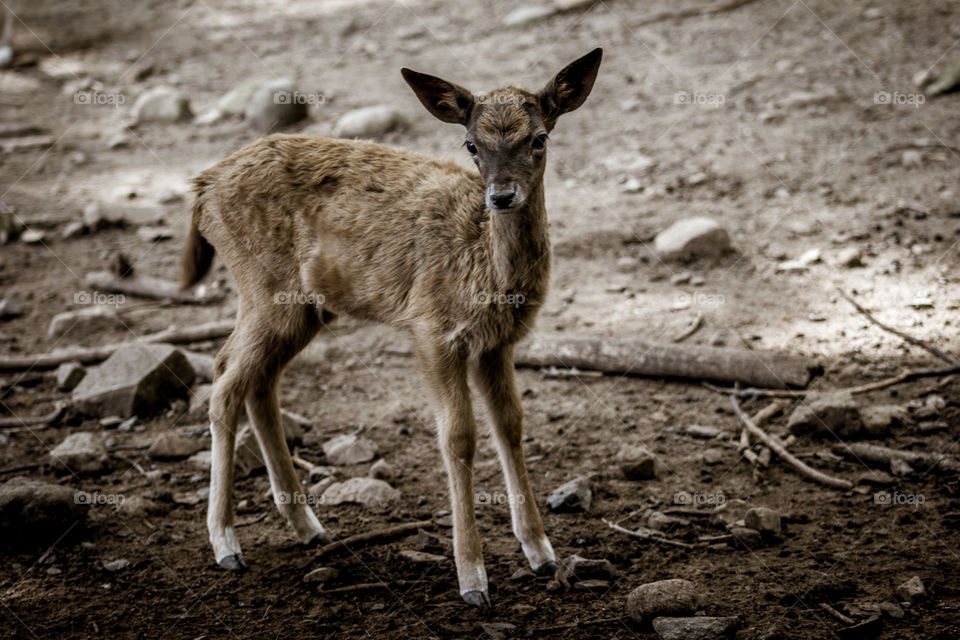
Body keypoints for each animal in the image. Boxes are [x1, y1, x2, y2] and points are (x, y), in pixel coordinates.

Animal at [180, 48, 602, 606]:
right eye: (472, 144)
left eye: (539, 138)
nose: (501, 196)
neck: (488, 270)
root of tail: (200, 189)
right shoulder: (431, 329)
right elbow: (459, 437)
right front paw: (472, 579)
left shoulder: (497, 344)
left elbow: (510, 426)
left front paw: (542, 554)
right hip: (263, 288)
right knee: (225, 384)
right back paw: (226, 544)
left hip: (301, 307)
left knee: (254, 379)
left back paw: (308, 526)